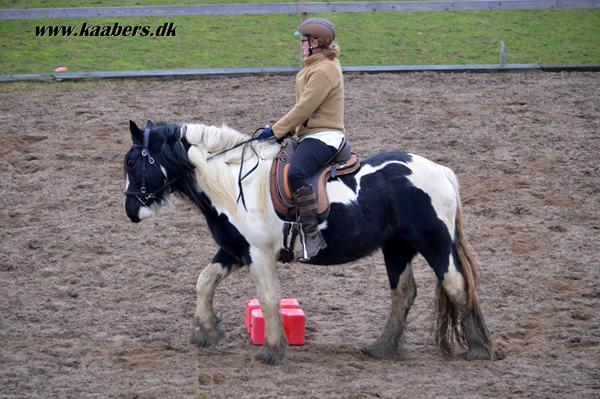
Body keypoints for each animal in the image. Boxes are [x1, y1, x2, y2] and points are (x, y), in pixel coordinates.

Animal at [122, 121, 492, 366]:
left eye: (131, 162)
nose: (130, 210)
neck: (235, 182)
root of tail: (441, 172)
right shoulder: (234, 250)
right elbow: (204, 281)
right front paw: (206, 330)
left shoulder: (259, 254)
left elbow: (268, 298)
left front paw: (272, 349)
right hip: (397, 248)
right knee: (404, 292)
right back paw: (381, 347)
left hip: (434, 243)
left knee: (456, 285)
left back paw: (478, 348)